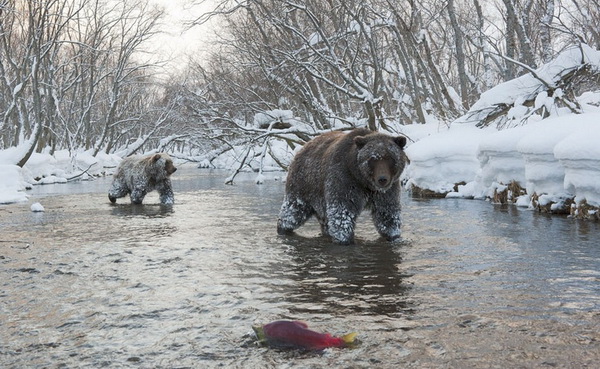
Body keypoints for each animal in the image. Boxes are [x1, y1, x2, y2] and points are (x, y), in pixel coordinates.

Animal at [276, 128, 408, 243]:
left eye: (390, 158)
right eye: (372, 158)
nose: (382, 179)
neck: (364, 181)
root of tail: (303, 147)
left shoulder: (386, 192)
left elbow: (387, 214)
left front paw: (394, 235)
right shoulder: (344, 180)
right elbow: (342, 212)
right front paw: (344, 239)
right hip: (303, 186)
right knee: (293, 211)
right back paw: (283, 228)